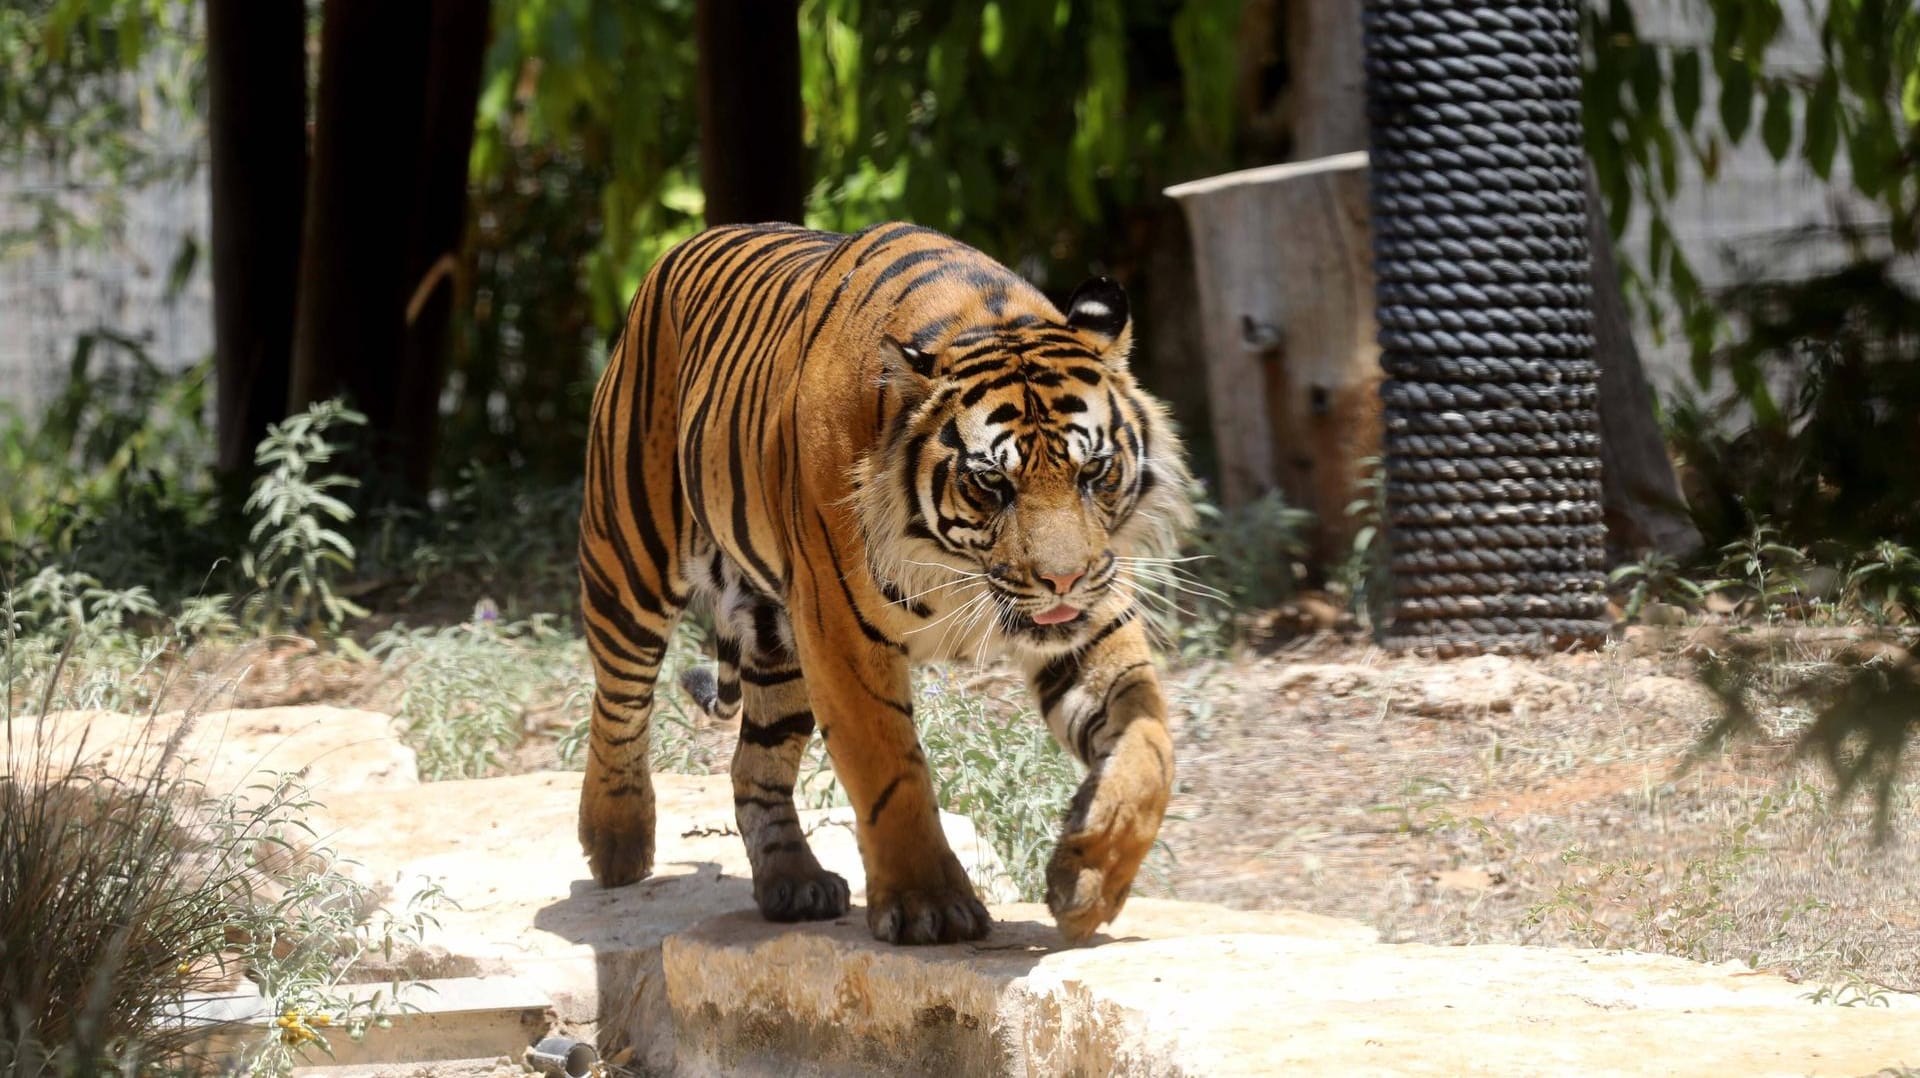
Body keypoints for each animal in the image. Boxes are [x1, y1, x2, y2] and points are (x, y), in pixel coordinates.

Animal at [576, 220, 1190, 941]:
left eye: (1092, 472)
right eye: (992, 483)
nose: (1062, 581)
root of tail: (679, 252)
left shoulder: (1091, 619)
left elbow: (1148, 748)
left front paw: (1089, 878)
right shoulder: (841, 636)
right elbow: (890, 773)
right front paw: (930, 906)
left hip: (776, 641)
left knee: (752, 764)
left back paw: (794, 884)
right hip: (628, 562)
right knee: (618, 705)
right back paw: (616, 843)